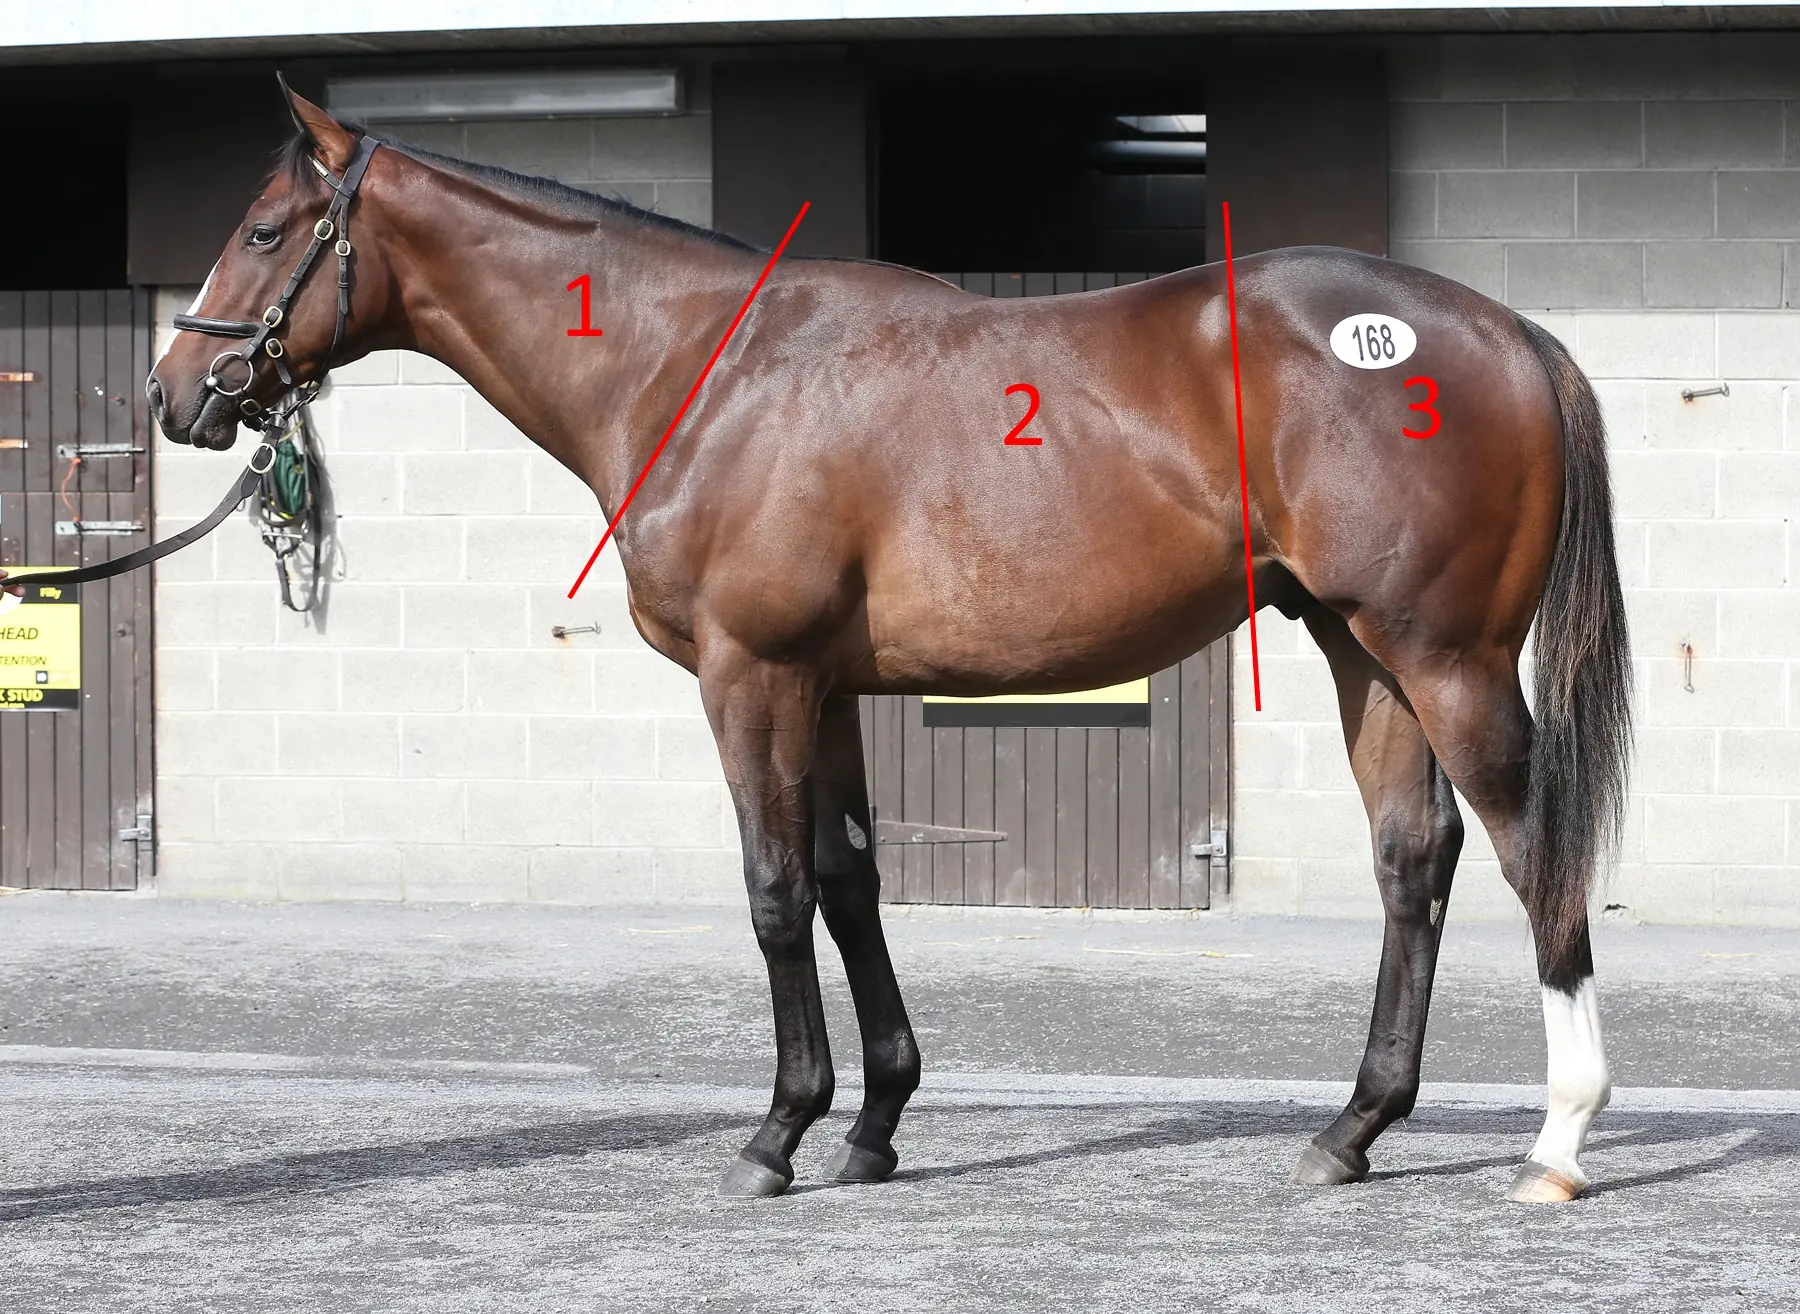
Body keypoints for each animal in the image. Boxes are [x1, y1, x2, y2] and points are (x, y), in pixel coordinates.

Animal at [141, 81, 1631, 1205]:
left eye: (266, 229)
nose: (174, 395)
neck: (705, 370)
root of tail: (1509, 329)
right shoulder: (832, 687)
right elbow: (850, 880)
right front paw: (871, 1123)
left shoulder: (751, 675)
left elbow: (772, 890)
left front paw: (777, 1132)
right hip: (1361, 650)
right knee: (1412, 858)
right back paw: (1351, 1129)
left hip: (1442, 657)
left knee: (1531, 852)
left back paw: (1558, 1139)